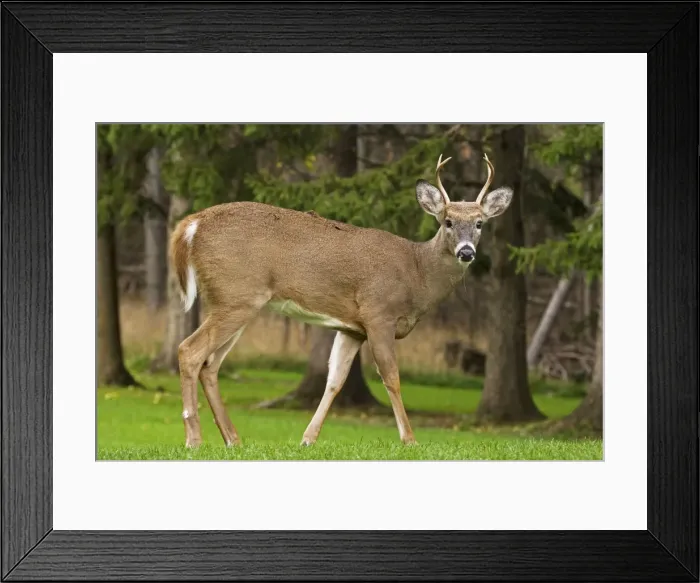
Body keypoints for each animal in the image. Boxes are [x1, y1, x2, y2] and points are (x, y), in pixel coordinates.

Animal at [170, 153, 513, 447]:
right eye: (447, 221)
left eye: (480, 223)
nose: (466, 252)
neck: (416, 274)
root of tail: (190, 226)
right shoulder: (378, 314)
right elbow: (392, 376)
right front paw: (410, 439)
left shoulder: (352, 328)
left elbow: (335, 380)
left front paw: (307, 438)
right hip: (236, 295)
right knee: (189, 351)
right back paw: (194, 439)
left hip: (237, 301)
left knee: (210, 365)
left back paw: (233, 439)